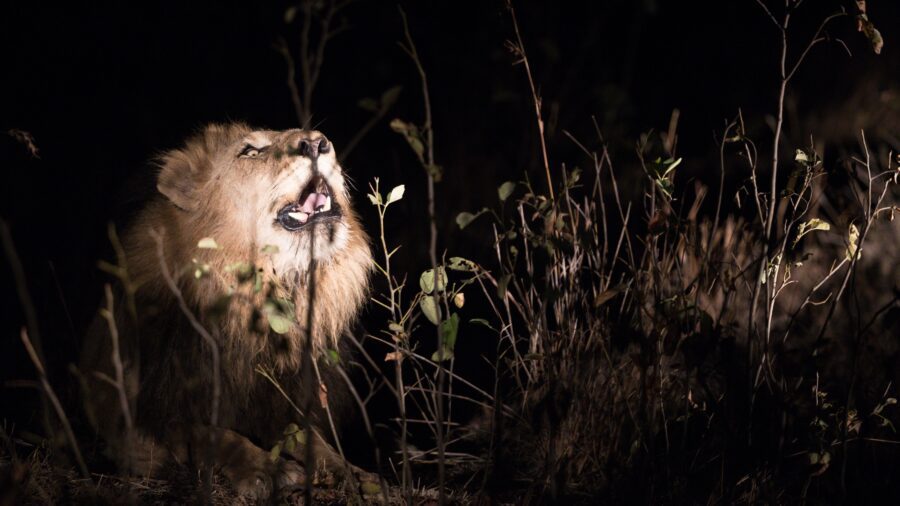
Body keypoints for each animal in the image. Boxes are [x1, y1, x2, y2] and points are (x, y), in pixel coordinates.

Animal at [82, 122, 378, 498]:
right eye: (250, 152)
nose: (316, 143)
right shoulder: (148, 423)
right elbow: (215, 434)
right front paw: (267, 469)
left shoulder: (283, 401)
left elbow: (309, 437)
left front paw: (352, 472)